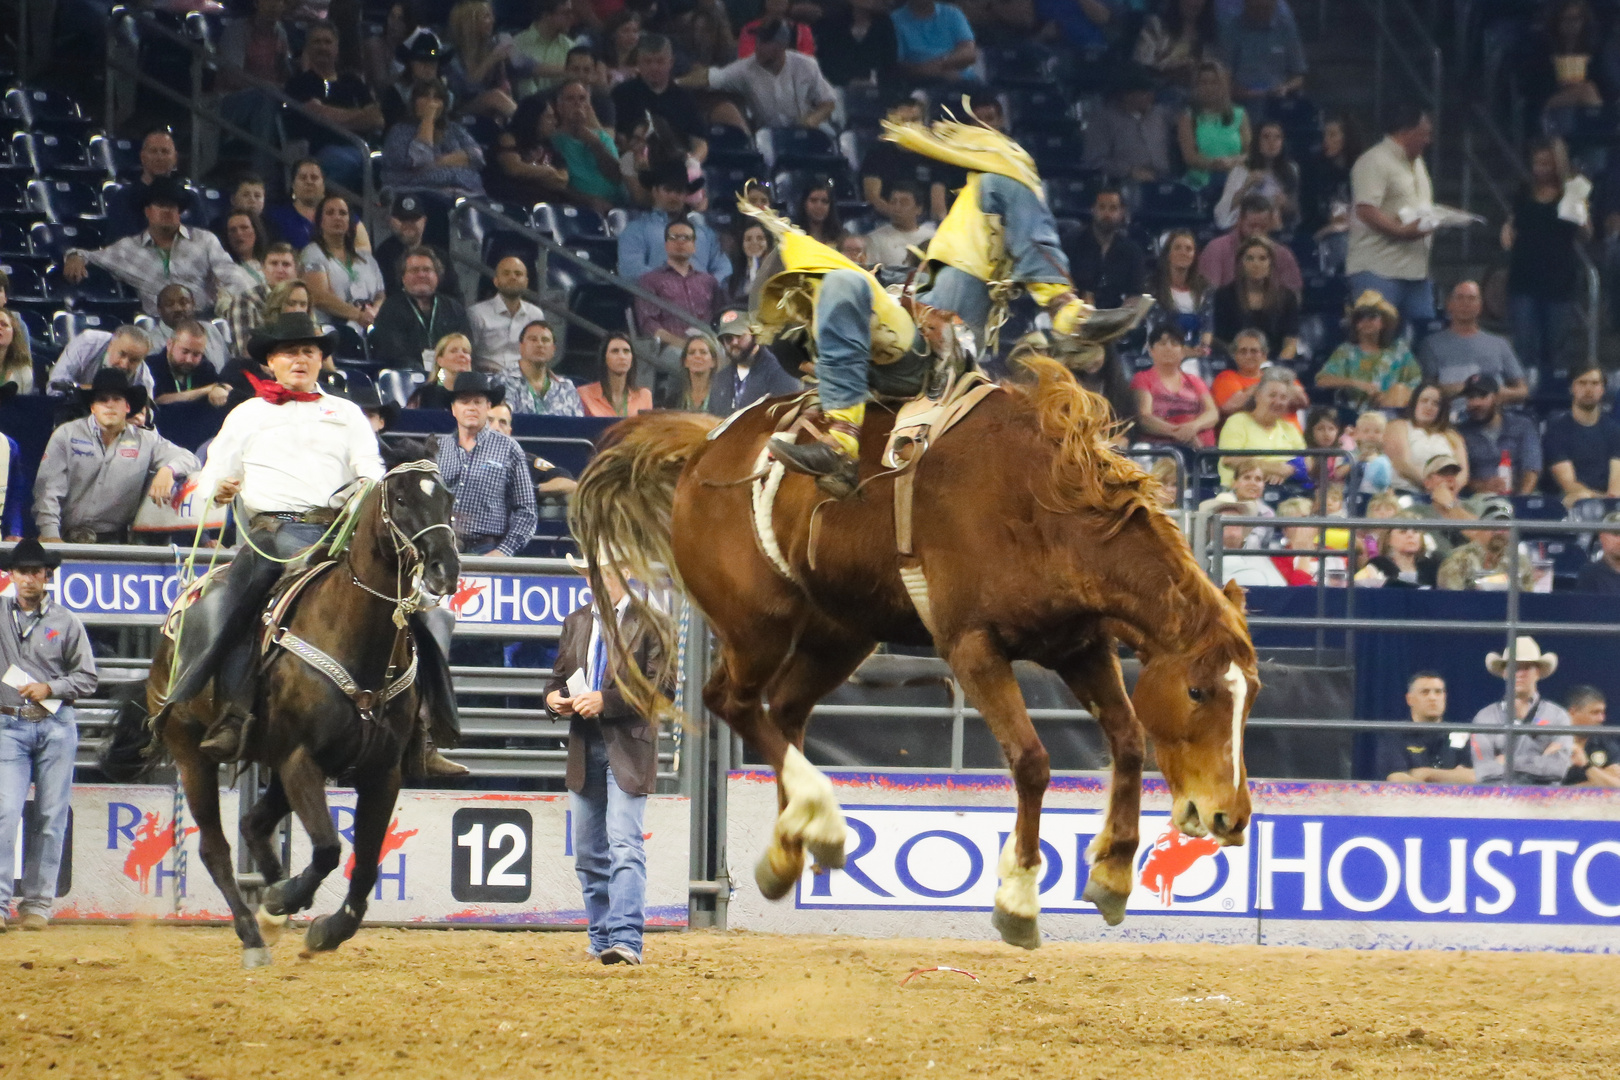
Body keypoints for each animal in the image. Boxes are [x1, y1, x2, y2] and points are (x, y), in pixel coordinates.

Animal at [573, 359, 1263, 952]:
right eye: (1199, 690)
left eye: (1250, 693)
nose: (1231, 817)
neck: (1039, 501)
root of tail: (705, 451)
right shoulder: (972, 645)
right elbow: (1032, 760)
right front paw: (1019, 900)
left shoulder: (1080, 645)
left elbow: (1126, 740)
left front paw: (1115, 873)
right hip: (757, 624)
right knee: (733, 701)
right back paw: (821, 819)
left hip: (840, 634)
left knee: (784, 711)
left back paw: (792, 843)